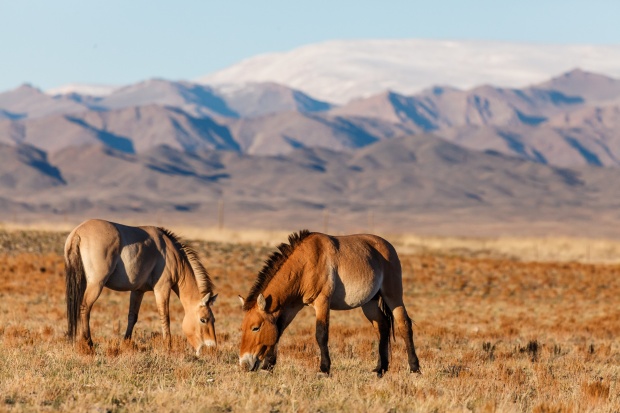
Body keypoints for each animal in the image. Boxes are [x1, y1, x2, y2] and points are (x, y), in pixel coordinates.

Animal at [65, 219, 218, 354]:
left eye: (213, 320)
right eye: (203, 320)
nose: (211, 347)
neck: (171, 253)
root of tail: (78, 232)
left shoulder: (138, 291)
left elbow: (132, 316)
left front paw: (126, 343)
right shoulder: (162, 288)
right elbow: (165, 316)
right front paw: (168, 346)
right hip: (96, 284)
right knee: (85, 307)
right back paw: (88, 344)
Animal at [237, 229, 422, 376]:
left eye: (255, 328)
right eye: (242, 328)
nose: (244, 364)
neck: (306, 263)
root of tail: (388, 246)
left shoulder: (322, 302)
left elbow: (321, 334)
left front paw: (323, 370)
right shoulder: (292, 307)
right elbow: (279, 331)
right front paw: (267, 367)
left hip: (393, 296)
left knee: (404, 325)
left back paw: (414, 369)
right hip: (369, 302)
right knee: (382, 326)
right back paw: (380, 369)